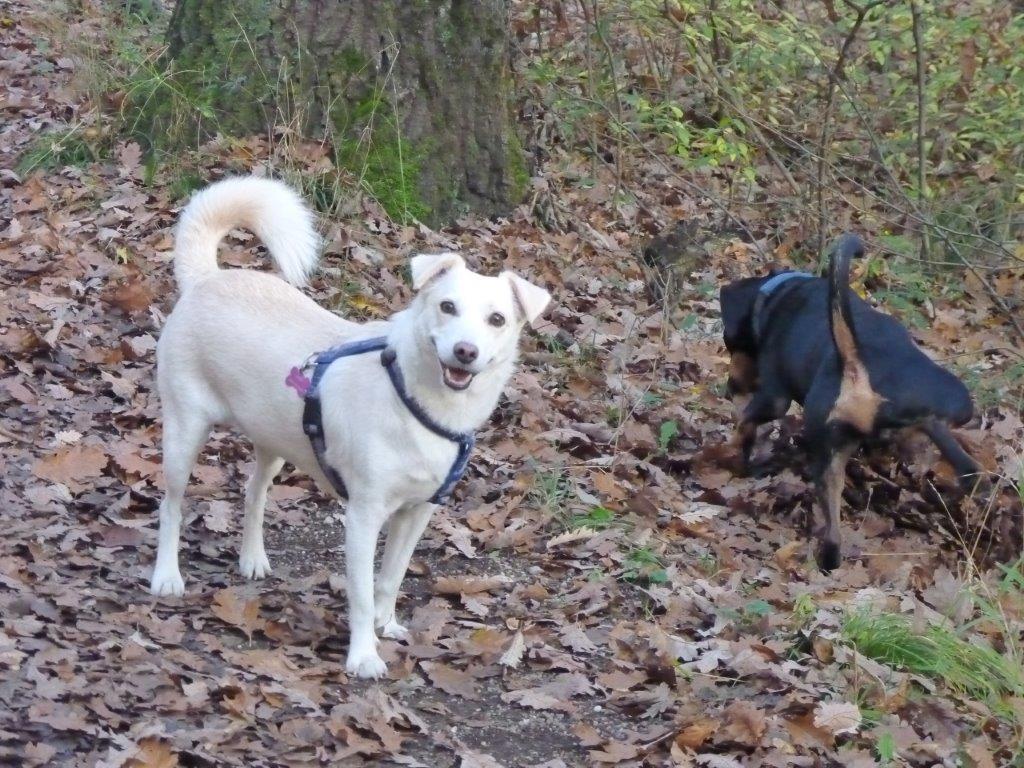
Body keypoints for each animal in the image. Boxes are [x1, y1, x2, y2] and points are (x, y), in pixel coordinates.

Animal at [148, 176, 551, 678]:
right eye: (447, 306)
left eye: (497, 319)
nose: (465, 352)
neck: (415, 399)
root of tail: (207, 278)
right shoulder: (363, 516)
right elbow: (360, 591)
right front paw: (363, 655)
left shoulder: (415, 514)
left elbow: (390, 579)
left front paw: (386, 625)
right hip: (184, 434)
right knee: (170, 506)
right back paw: (167, 576)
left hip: (275, 439)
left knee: (254, 493)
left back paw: (252, 558)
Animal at [719, 233, 978, 571]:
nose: (731, 387)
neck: (776, 294)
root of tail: (861, 368)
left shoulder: (774, 396)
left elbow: (745, 423)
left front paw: (736, 454)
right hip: (941, 423)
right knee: (967, 472)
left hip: (824, 443)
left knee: (832, 529)